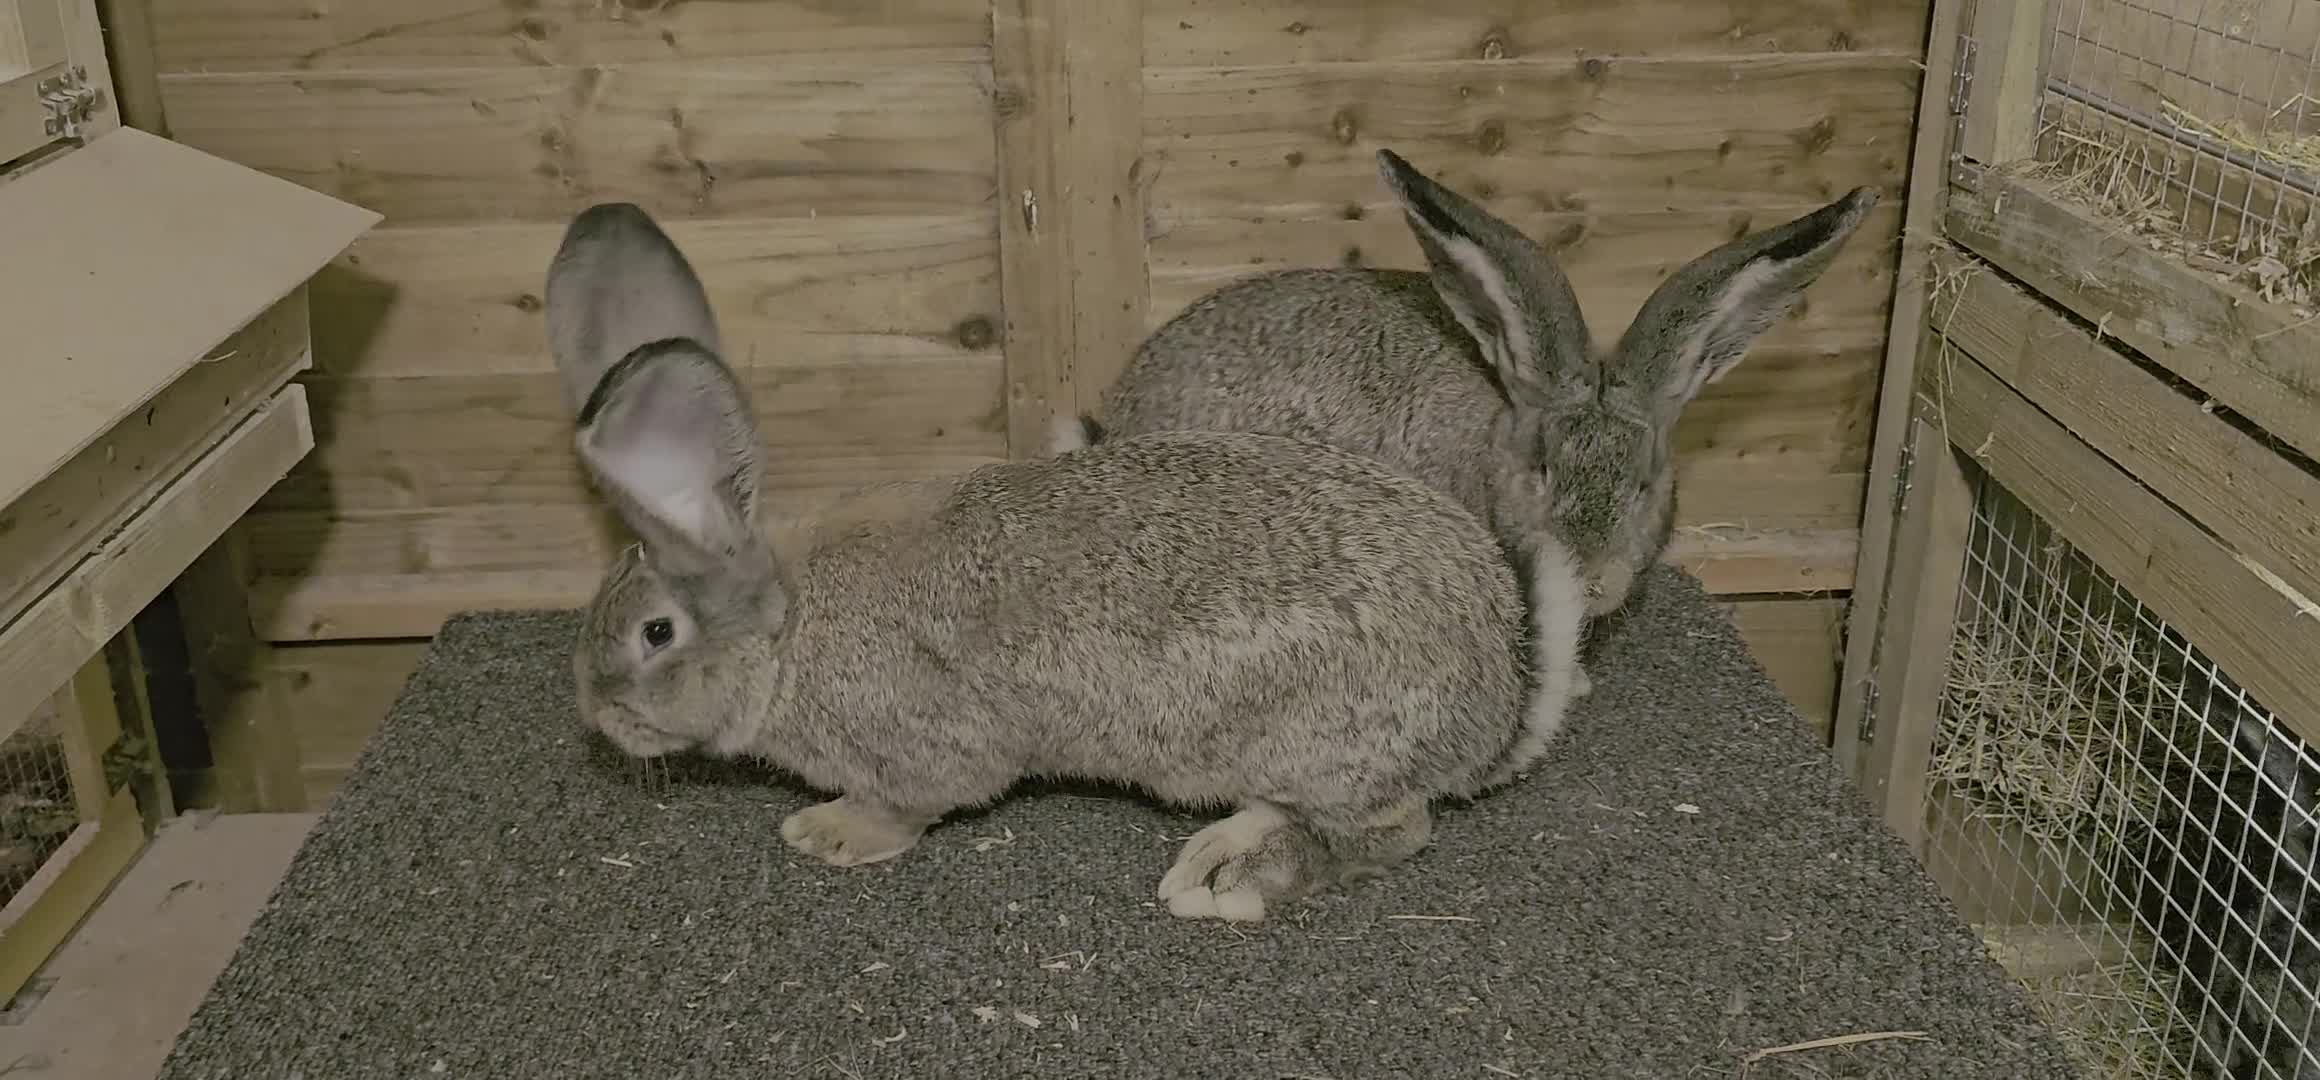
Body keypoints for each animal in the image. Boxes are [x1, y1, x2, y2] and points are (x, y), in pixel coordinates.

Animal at [542, 202, 1591, 924]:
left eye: (655, 633)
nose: (596, 715)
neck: (785, 631)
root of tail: (1501, 699)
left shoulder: (926, 749)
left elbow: (915, 804)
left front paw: (830, 833)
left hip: (1321, 745)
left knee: (1395, 827)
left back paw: (1237, 877)